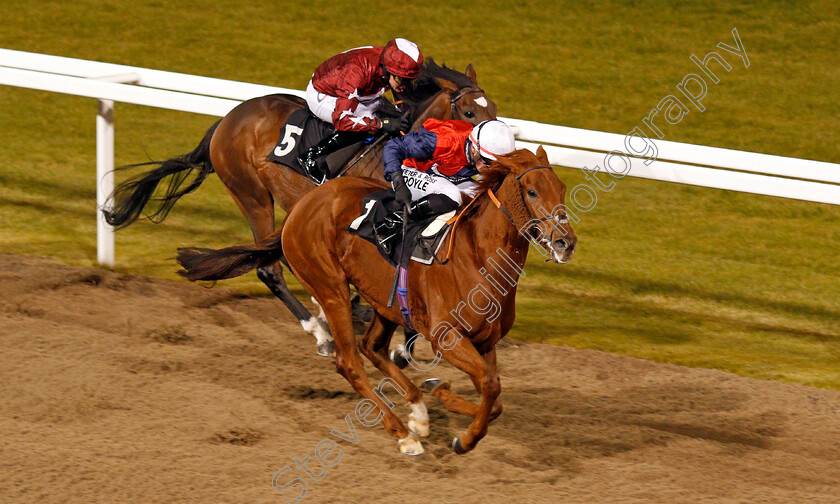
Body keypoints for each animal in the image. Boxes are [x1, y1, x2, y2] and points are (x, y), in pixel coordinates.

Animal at [105, 60, 498, 358]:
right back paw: (321, 332)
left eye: (494, 110)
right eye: (467, 111)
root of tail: (227, 120)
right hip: (252, 195)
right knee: (270, 268)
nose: (493, 155)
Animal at [175, 147, 576, 456]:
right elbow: (491, 387)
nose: (566, 242)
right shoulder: (447, 337)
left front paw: (442, 396)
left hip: (386, 301)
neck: (476, 256)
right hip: (331, 287)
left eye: (561, 187)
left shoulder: (485, 341)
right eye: (532, 192)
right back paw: (403, 434)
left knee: (373, 348)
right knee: (350, 361)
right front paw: (462, 435)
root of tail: (300, 207)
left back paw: (418, 412)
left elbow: (495, 395)